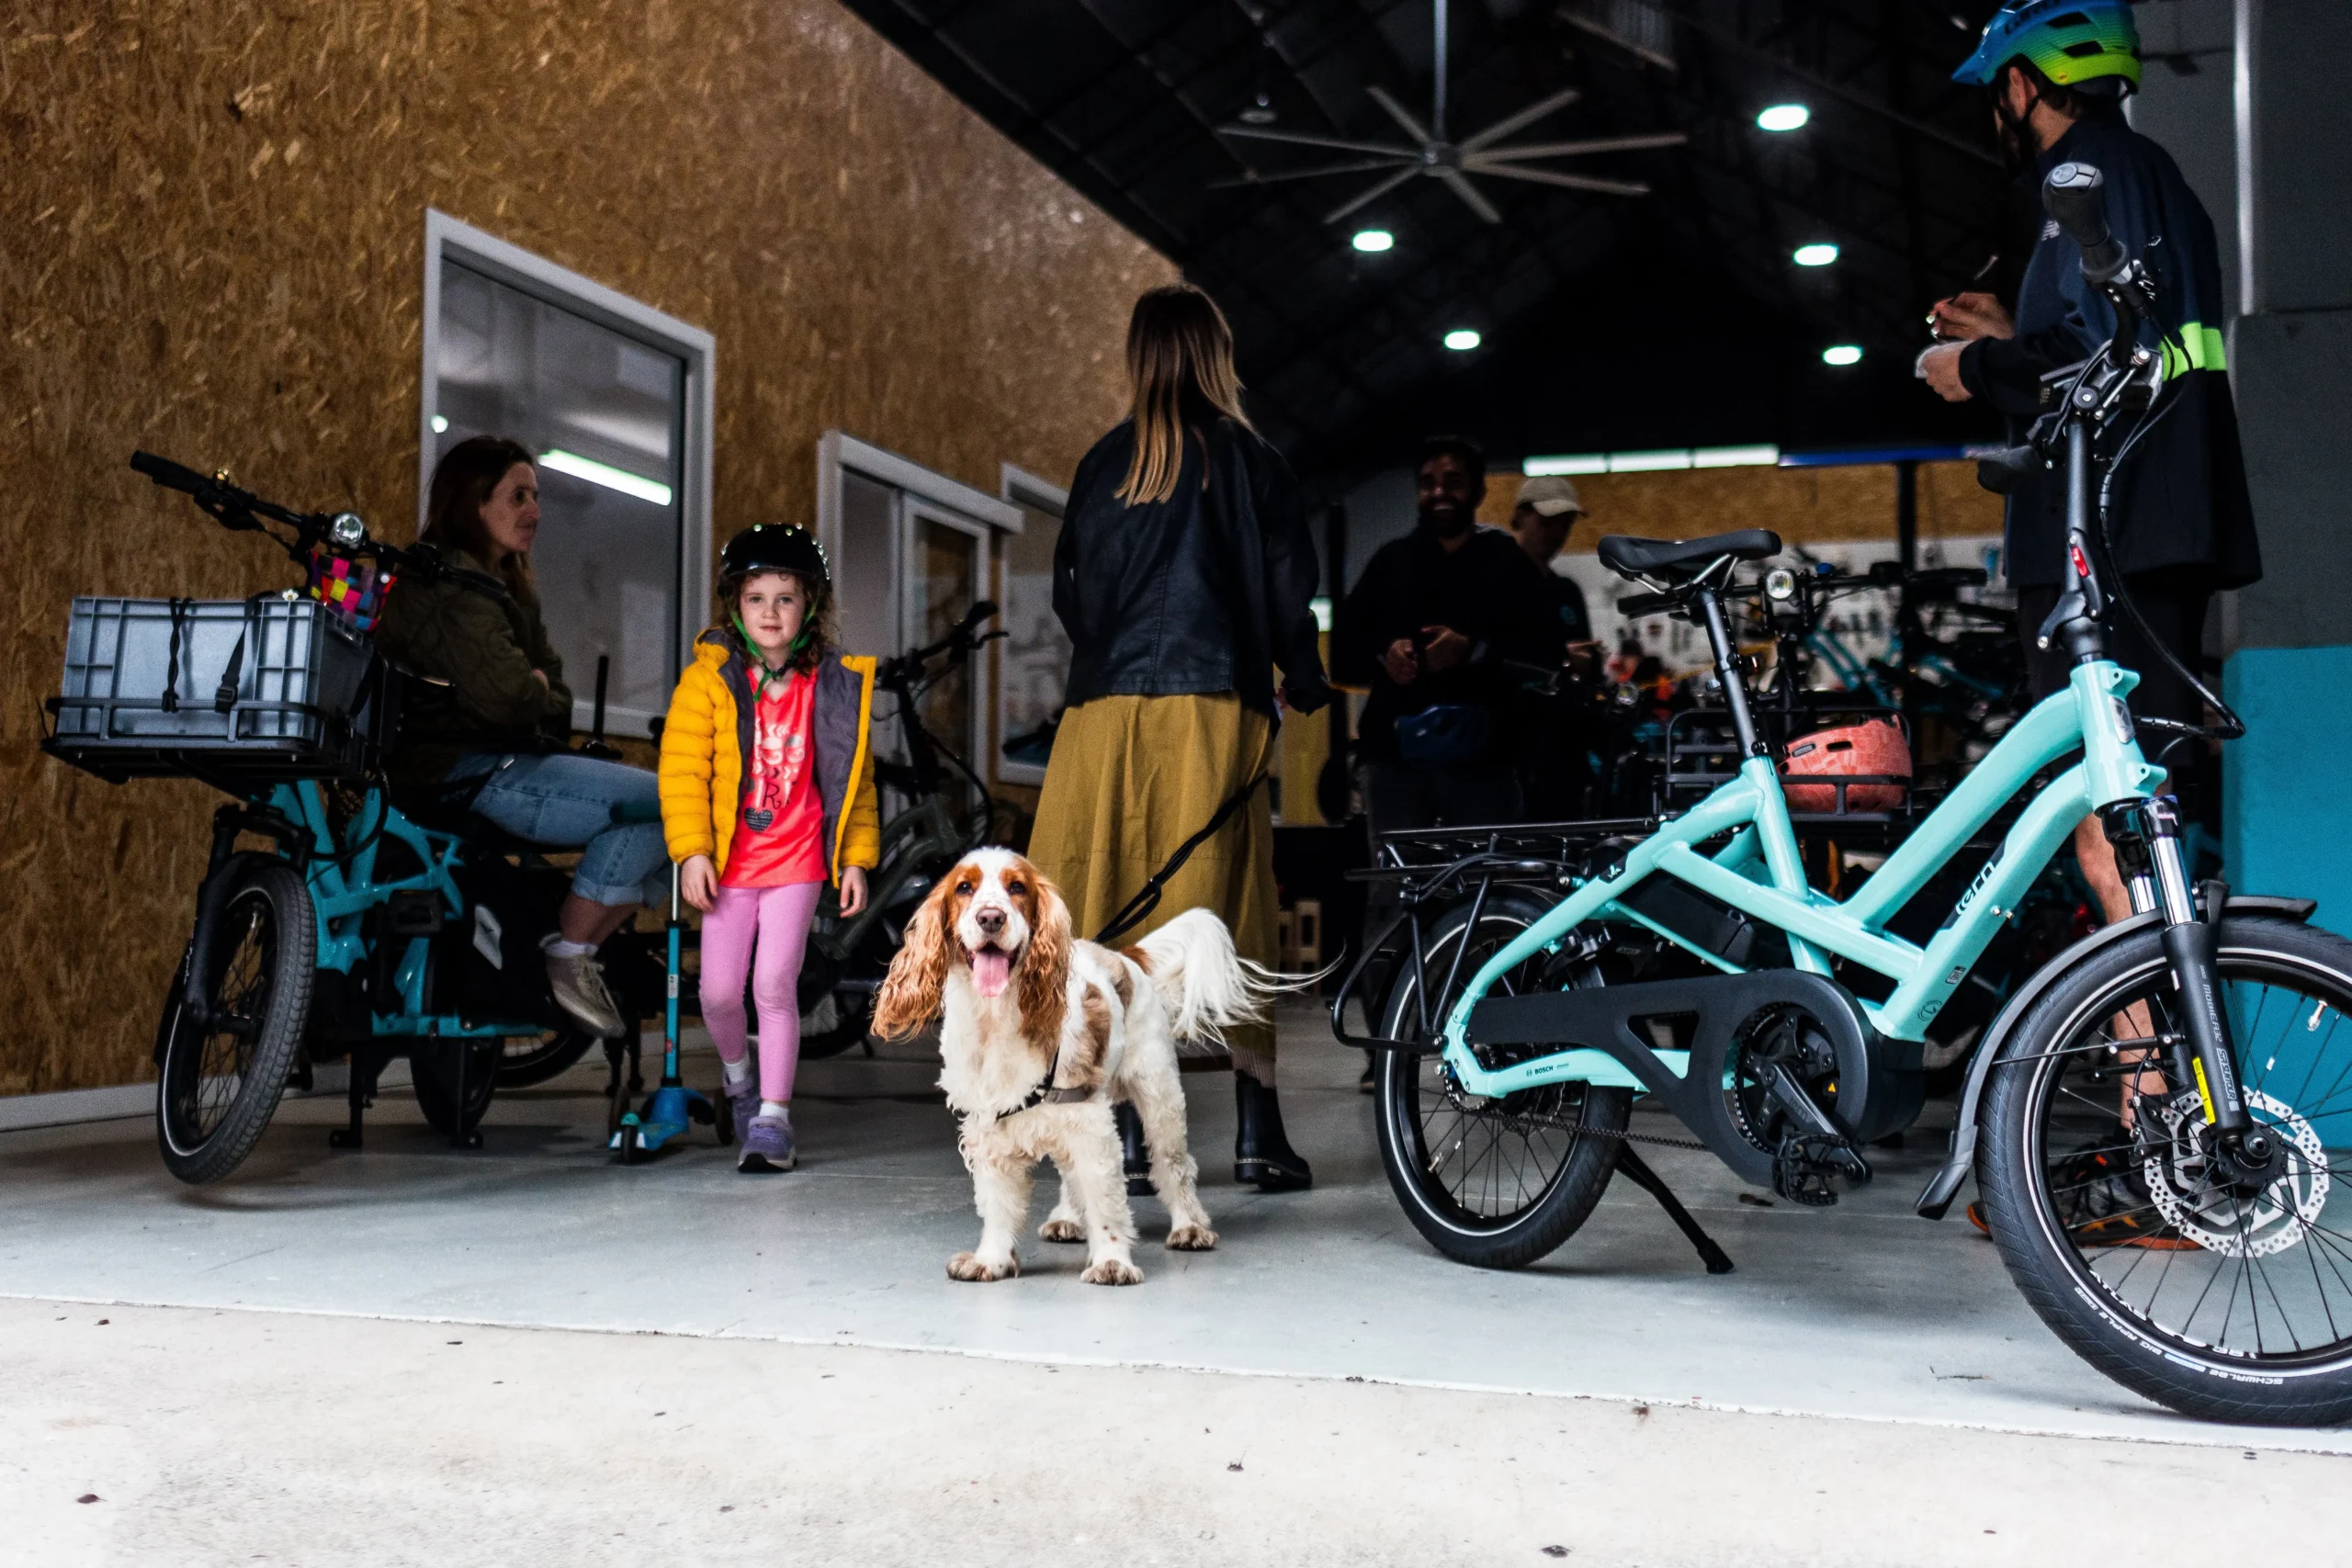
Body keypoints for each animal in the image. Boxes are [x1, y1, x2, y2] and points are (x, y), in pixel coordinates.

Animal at [875, 846, 1270, 1288]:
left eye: (1017, 887)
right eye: (964, 888)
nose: (991, 917)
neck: (997, 1020)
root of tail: (1125, 956)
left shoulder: (1090, 1123)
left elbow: (1106, 1201)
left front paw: (1112, 1261)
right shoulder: (992, 1126)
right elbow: (998, 1205)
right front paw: (991, 1259)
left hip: (1159, 1095)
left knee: (1175, 1165)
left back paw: (1190, 1227)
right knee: (1070, 1175)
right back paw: (1067, 1219)